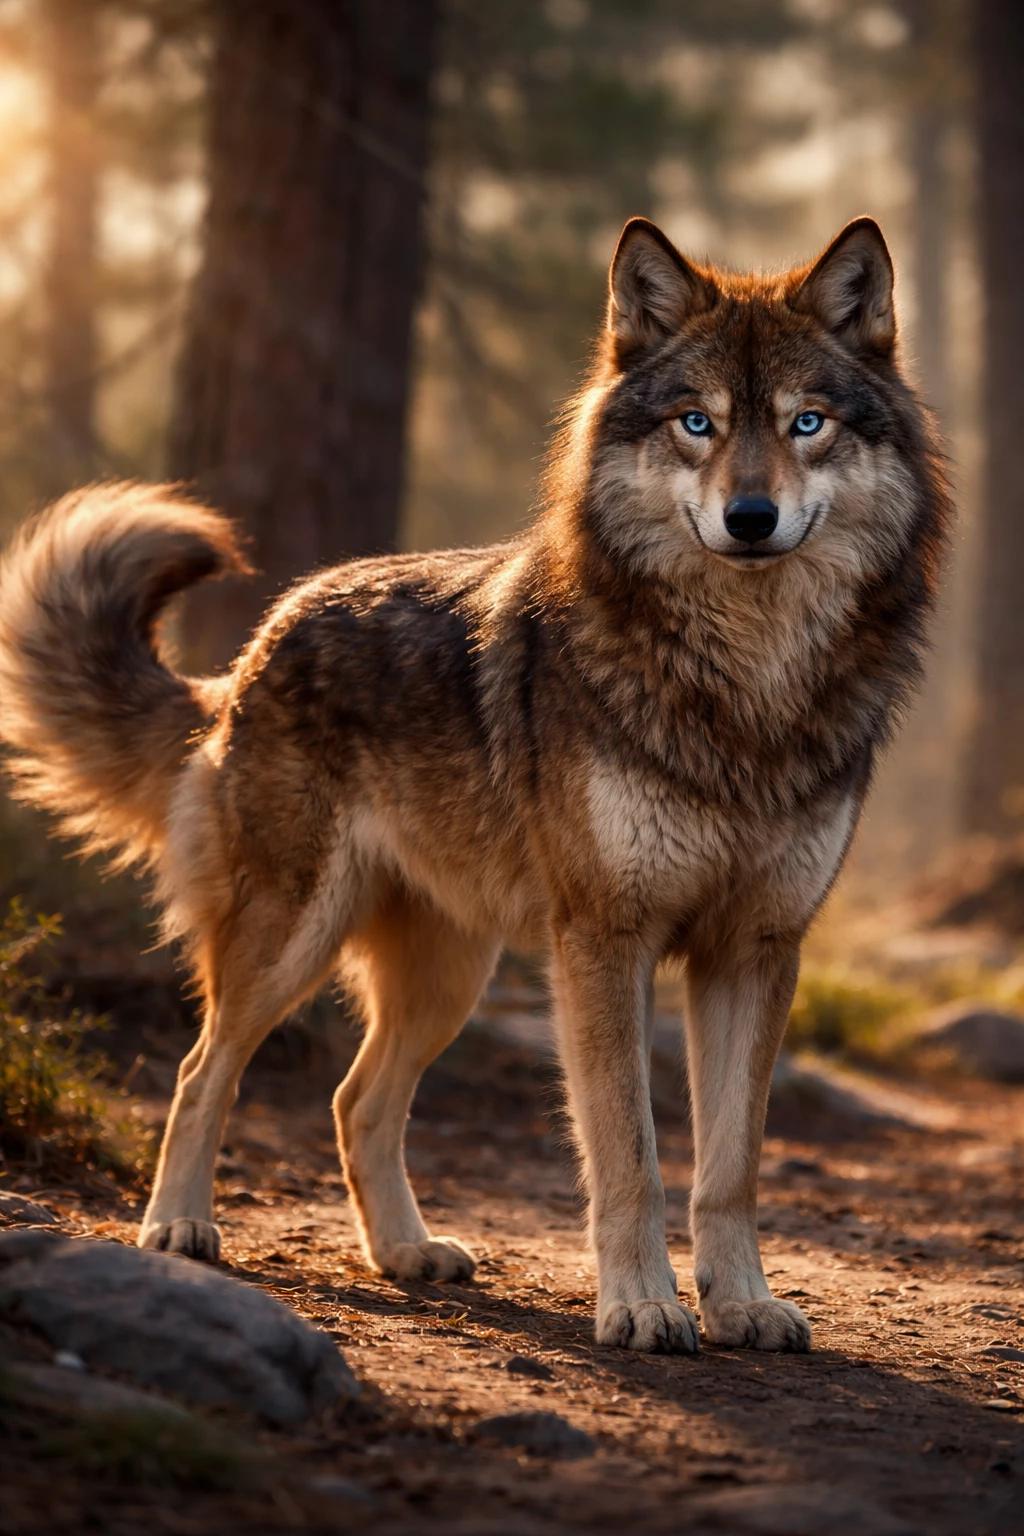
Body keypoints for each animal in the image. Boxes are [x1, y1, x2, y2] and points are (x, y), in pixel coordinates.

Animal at [0, 217, 948, 1353]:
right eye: (697, 423)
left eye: (807, 422)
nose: (751, 516)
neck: (743, 688)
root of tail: (253, 650)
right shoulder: (606, 942)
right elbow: (628, 1156)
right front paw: (641, 1306)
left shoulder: (754, 951)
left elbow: (730, 1167)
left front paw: (743, 1305)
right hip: (293, 942)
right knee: (201, 1069)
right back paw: (179, 1229)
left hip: (450, 976)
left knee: (354, 1102)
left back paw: (407, 1253)